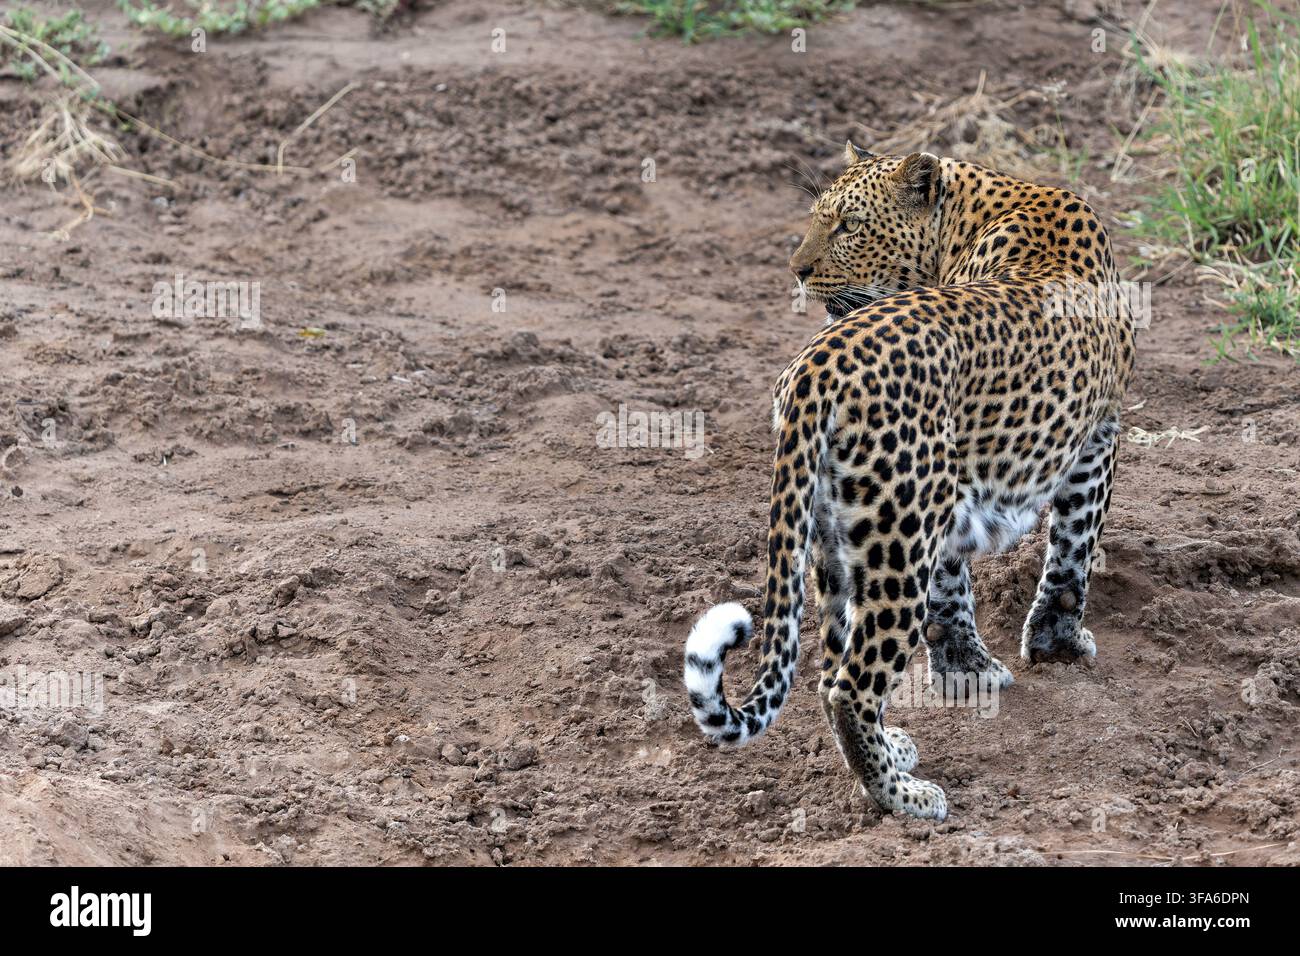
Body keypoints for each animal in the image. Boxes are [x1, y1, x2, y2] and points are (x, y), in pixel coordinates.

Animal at [683, 143, 1135, 821]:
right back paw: (903, 796)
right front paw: (1056, 642)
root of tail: (814, 368)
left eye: (848, 225)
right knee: (850, 685)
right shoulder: (1098, 439)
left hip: (840, 532)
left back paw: (889, 755)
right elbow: (1073, 551)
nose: (797, 270)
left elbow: (953, 590)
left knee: (826, 667)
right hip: (900, 534)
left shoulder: (950, 494)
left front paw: (966, 668)